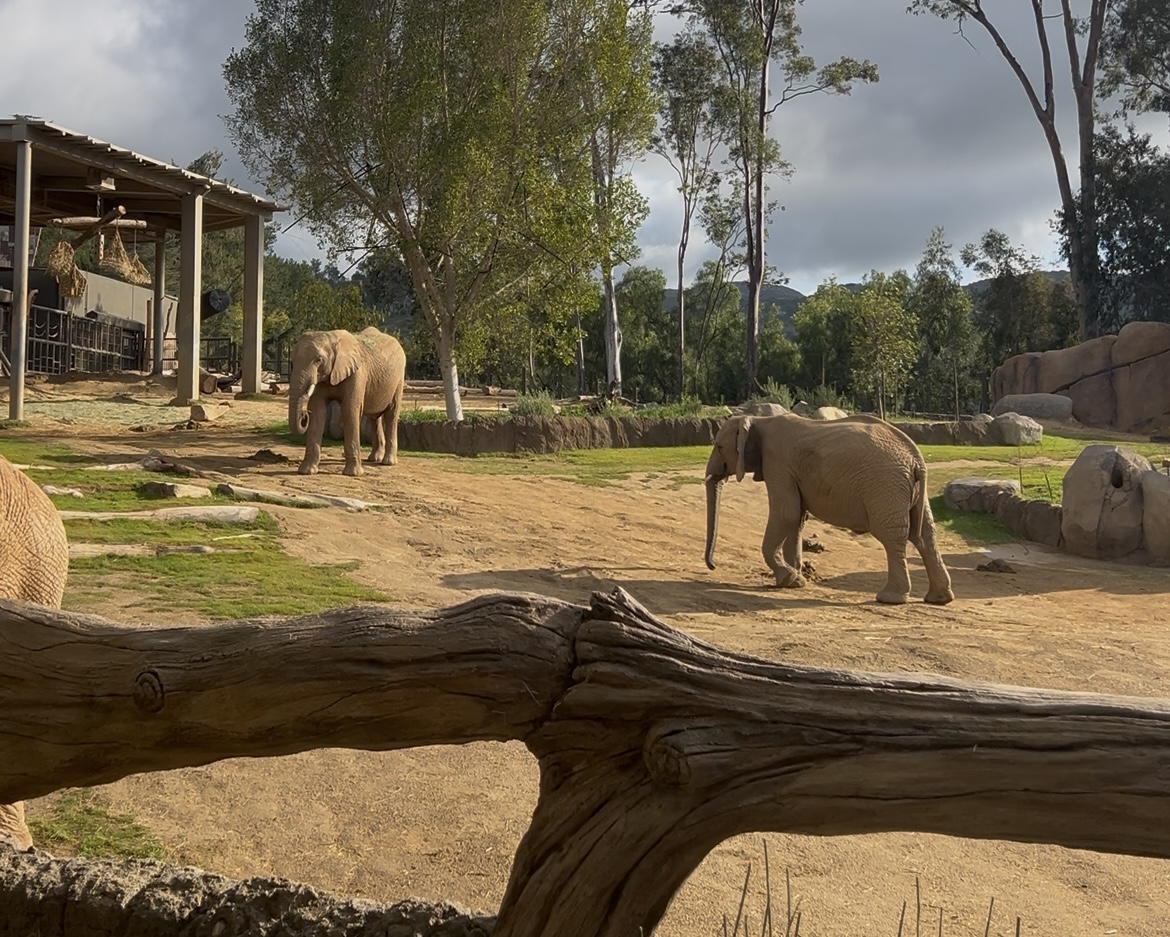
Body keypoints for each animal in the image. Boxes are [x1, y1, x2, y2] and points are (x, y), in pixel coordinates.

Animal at [288, 326, 407, 477]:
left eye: (318, 360)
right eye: (292, 361)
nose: (304, 416)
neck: (331, 337)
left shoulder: (357, 373)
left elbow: (349, 410)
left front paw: (353, 473)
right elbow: (317, 411)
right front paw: (306, 471)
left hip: (398, 379)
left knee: (391, 414)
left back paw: (387, 462)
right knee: (374, 418)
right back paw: (374, 458)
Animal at [704, 414, 954, 605]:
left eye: (719, 446)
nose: (713, 566)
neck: (759, 419)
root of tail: (916, 458)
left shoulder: (777, 462)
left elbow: (786, 513)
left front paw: (787, 579)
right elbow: (798, 518)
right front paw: (796, 580)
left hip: (885, 486)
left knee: (892, 537)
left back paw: (889, 599)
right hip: (908, 490)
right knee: (925, 534)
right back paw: (939, 598)